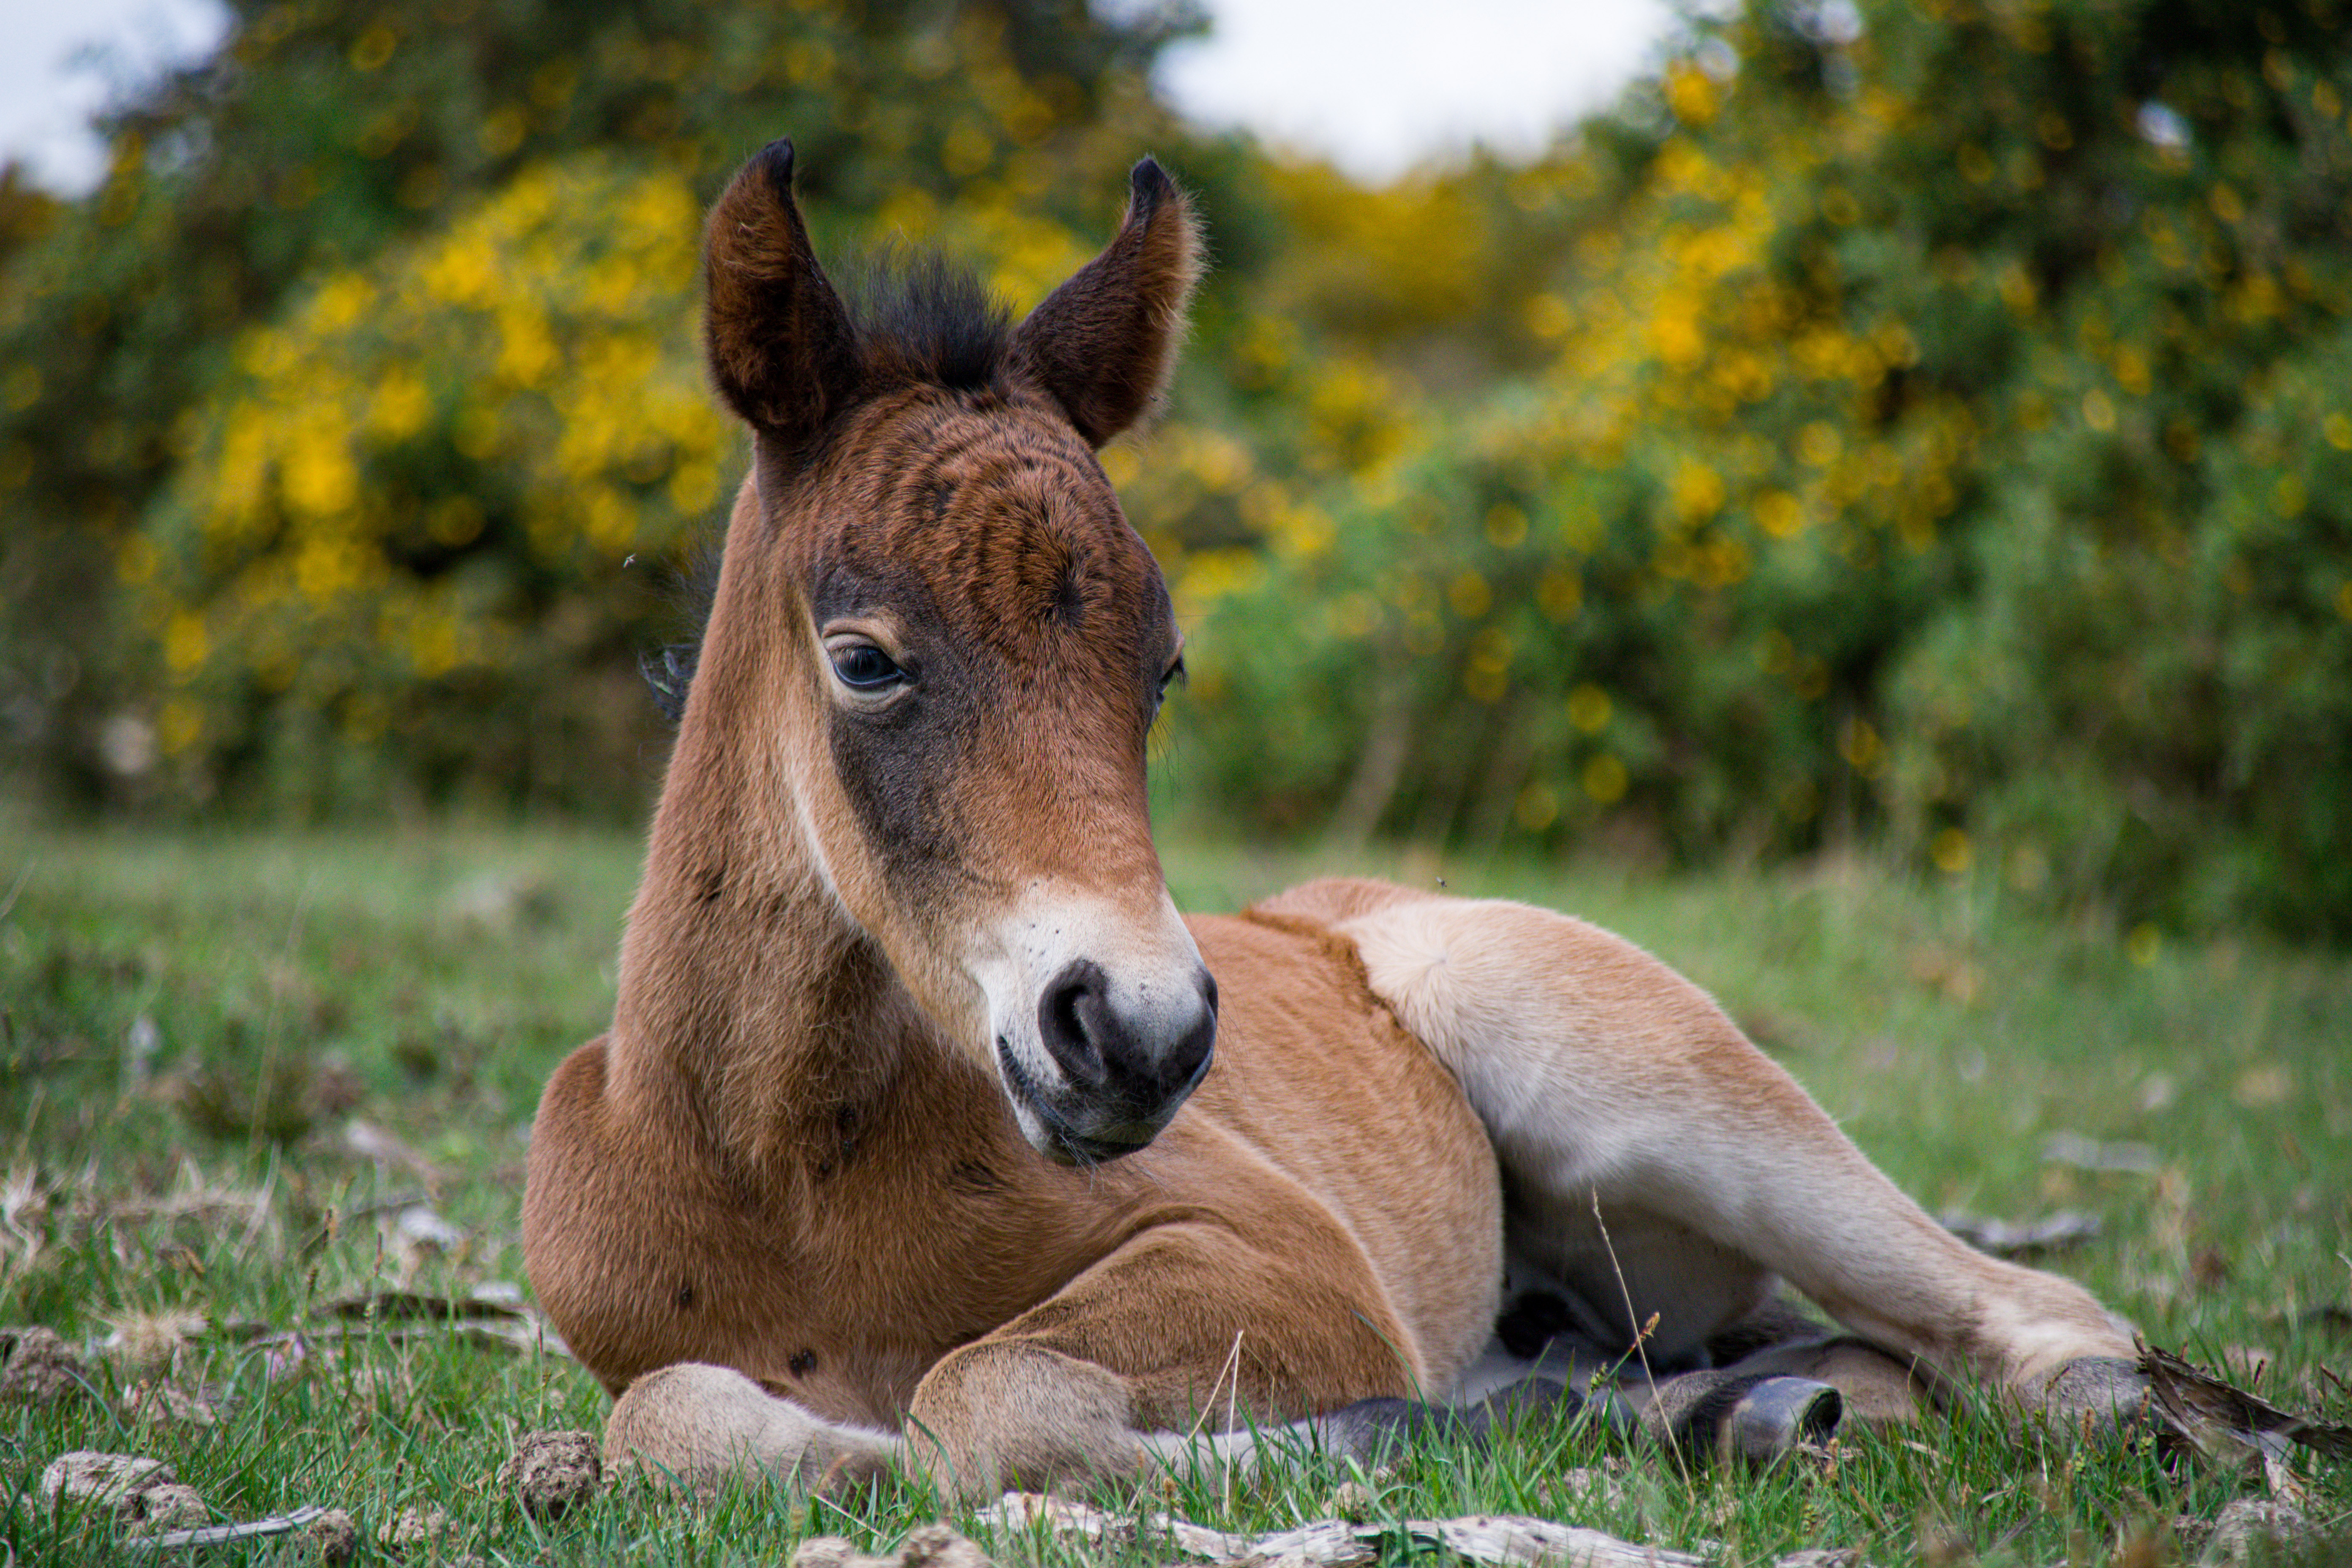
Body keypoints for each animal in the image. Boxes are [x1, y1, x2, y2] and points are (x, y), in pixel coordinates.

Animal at [524, 141, 2145, 1504]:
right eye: (862, 660)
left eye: (1161, 671)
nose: (1139, 1034)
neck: (782, 1170)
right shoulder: (646, 1351)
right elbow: (676, 1415)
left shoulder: (1297, 1265)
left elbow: (980, 1399)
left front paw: (1375, 1433)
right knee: (1841, 1357)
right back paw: (1705, 1406)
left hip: (1638, 1075)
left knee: (2032, 1315)